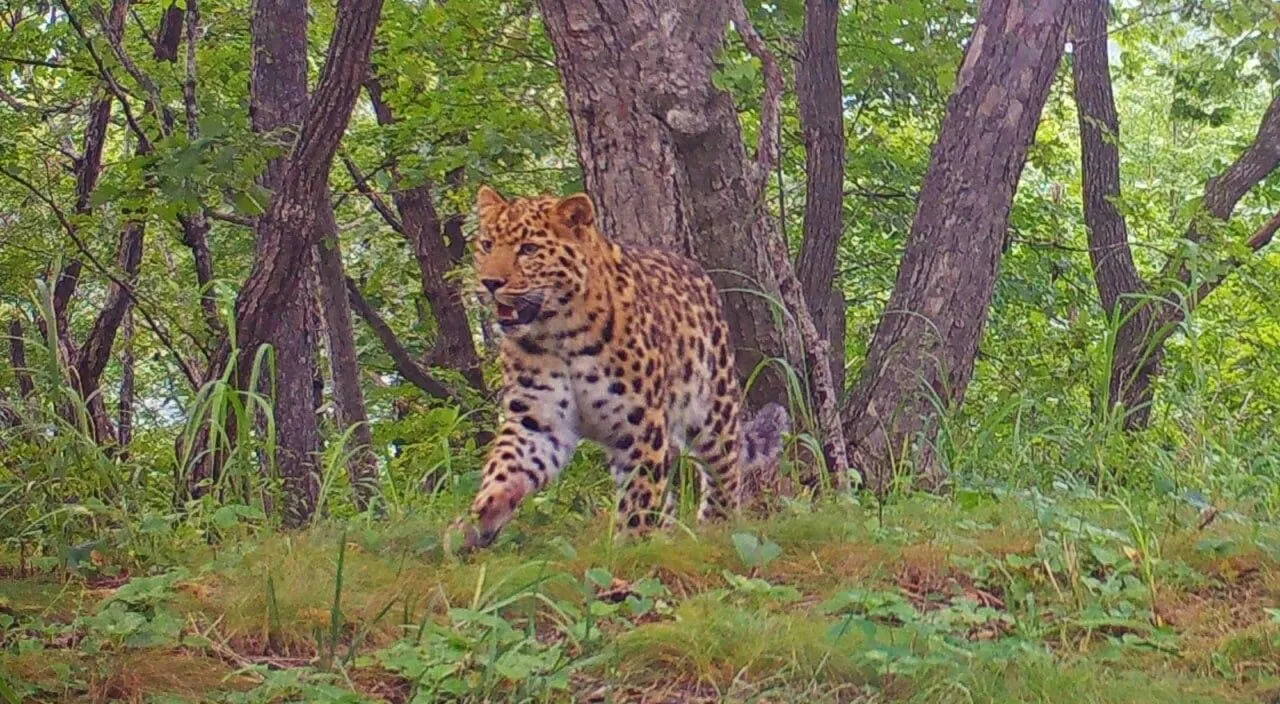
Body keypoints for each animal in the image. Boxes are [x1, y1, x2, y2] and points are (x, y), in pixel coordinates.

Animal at [455, 188, 783, 552]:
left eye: (528, 249)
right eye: (486, 244)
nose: (489, 282)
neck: (558, 334)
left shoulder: (640, 424)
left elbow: (640, 497)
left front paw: (634, 551)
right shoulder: (538, 421)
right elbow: (505, 466)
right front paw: (479, 518)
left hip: (713, 407)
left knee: (724, 470)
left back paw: (718, 527)